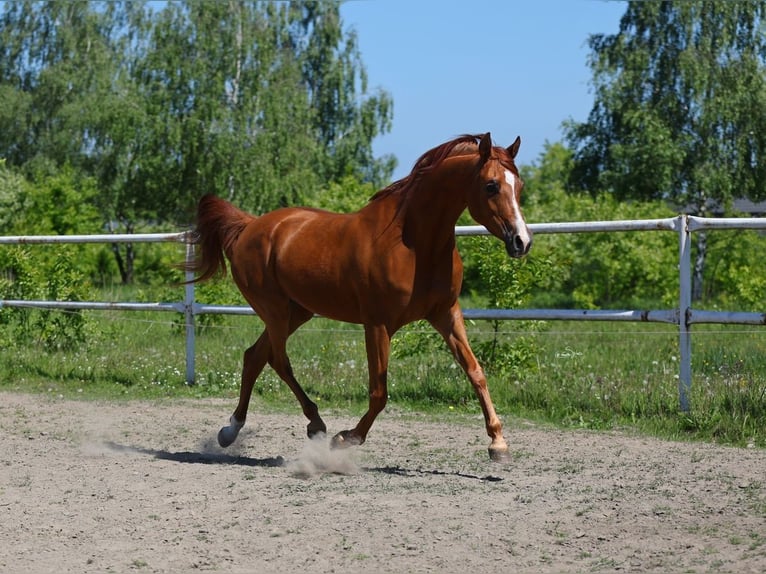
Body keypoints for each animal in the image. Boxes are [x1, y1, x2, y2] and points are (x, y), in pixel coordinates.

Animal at [189, 133, 532, 462]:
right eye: (491, 185)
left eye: (520, 186)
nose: (522, 242)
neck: (413, 244)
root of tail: (249, 227)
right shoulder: (378, 324)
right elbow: (379, 392)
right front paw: (346, 438)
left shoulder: (446, 314)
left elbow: (476, 372)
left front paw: (498, 443)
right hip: (274, 310)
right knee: (278, 360)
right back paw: (315, 424)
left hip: (297, 311)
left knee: (255, 357)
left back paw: (231, 430)